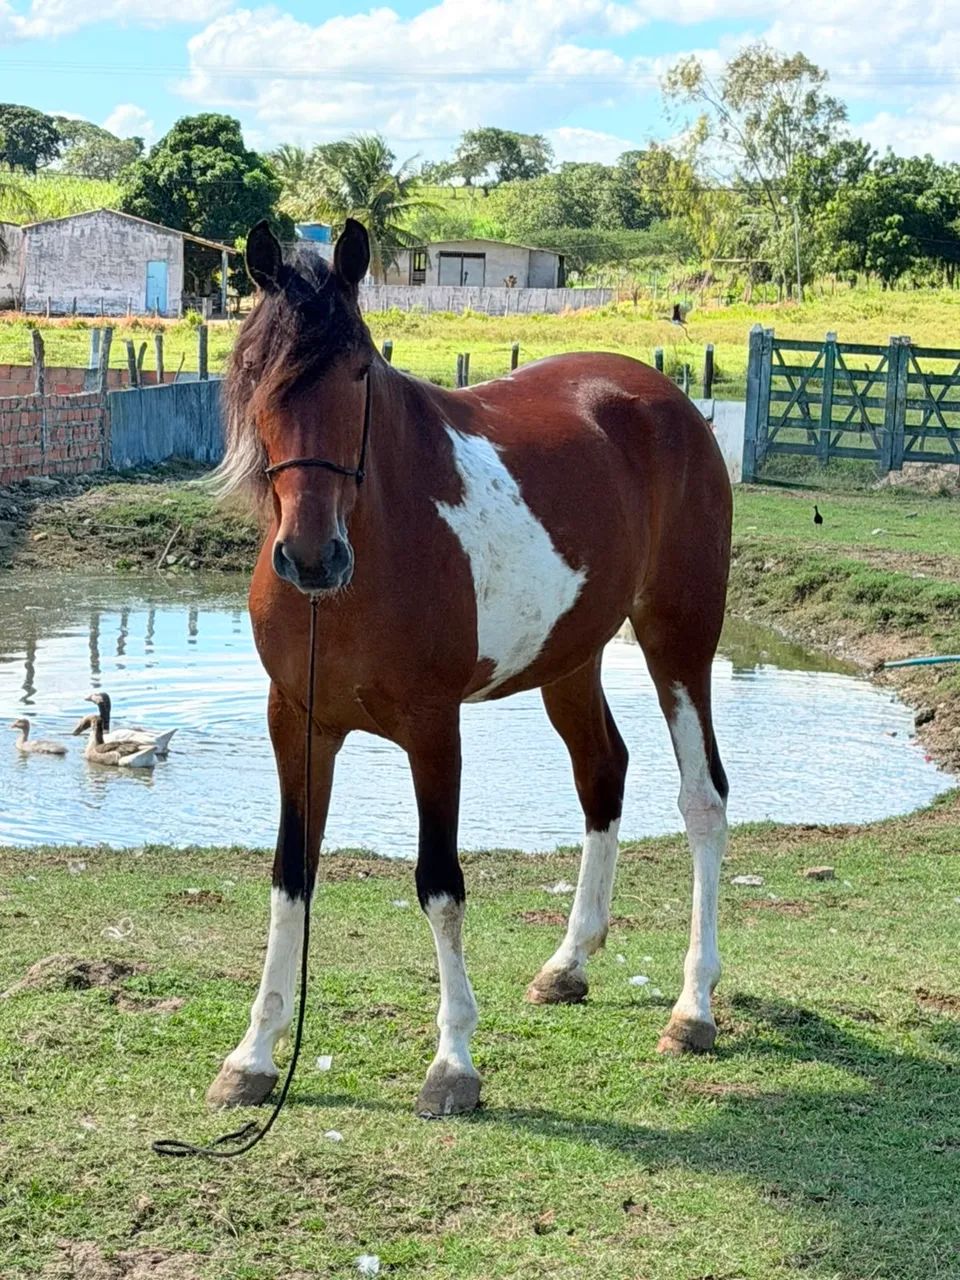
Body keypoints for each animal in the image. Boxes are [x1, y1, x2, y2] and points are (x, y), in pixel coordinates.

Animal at [206, 218, 732, 1119]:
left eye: (359, 370)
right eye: (255, 373)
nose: (311, 557)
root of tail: (665, 400)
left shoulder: (433, 730)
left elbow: (440, 884)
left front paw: (452, 1063)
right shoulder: (297, 726)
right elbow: (290, 876)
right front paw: (255, 1055)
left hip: (679, 640)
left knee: (703, 801)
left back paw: (691, 1007)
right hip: (572, 660)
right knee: (602, 774)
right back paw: (569, 963)